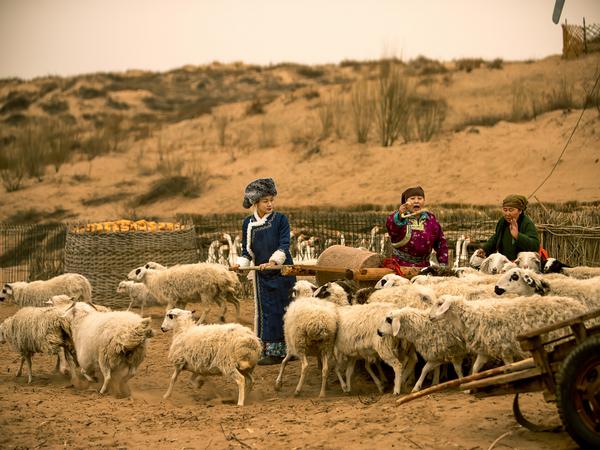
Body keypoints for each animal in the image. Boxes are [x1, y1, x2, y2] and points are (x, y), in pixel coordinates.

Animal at [428, 292, 588, 372]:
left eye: (440, 304)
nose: (430, 317)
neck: (471, 316)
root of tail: (580, 307)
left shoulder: (504, 348)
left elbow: (508, 367)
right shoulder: (485, 349)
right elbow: (475, 368)